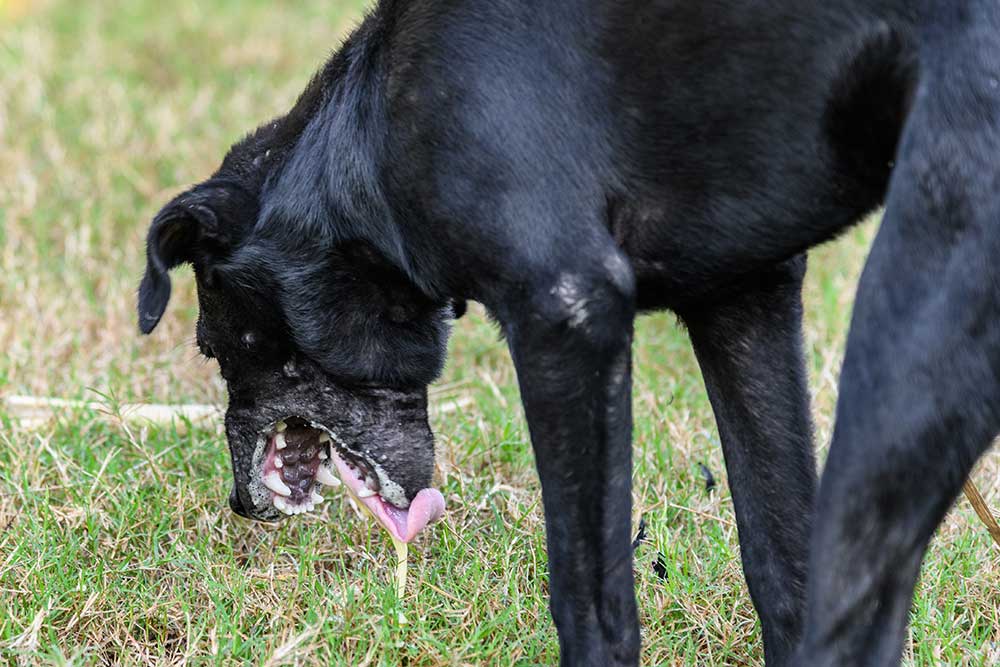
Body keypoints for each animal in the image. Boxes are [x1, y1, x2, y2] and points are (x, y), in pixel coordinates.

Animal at [139, 2, 1000, 664]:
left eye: (213, 346)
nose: (240, 504)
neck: (368, 137)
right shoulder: (745, 301)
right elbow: (781, 562)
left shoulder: (568, 317)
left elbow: (592, 603)